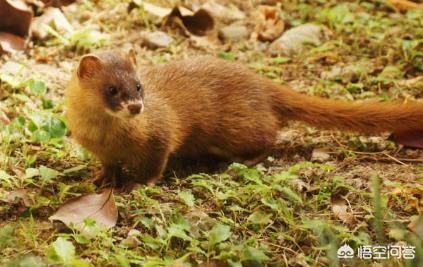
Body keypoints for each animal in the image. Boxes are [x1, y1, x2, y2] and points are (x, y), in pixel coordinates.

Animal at [65, 50, 423, 186]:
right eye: (112, 89)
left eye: (138, 85)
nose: (137, 107)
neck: (106, 136)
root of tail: (260, 82)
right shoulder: (100, 150)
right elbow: (108, 166)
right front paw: (100, 178)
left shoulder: (160, 137)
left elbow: (155, 164)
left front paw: (140, 184)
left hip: (237, 129)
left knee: (269, 136)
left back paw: (241, 162)